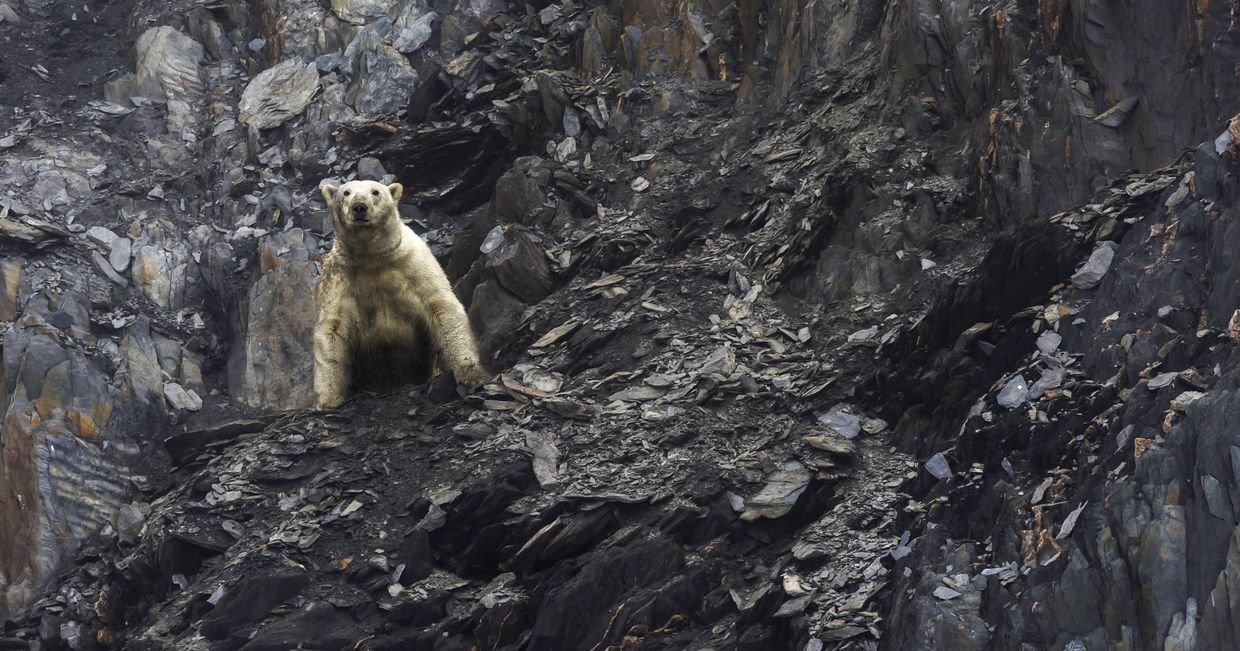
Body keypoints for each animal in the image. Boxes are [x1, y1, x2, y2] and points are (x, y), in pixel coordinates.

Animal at [314, 179, 488, 409]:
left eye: (375, 191)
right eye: (346, 192)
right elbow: (332, 328)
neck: (372, 258)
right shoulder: (338, 279)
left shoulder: (414, 265)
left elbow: (442, 306)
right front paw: (329, 399)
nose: (359, 207)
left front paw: (470, 374)